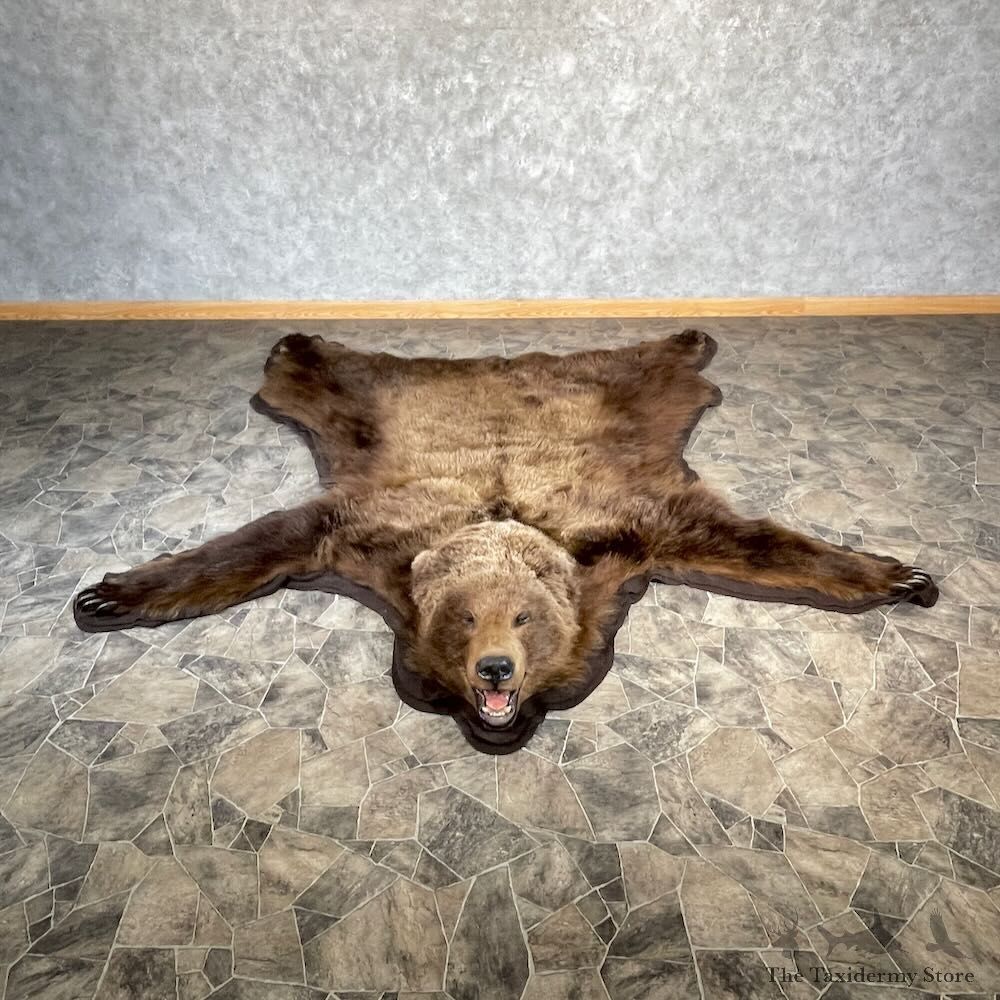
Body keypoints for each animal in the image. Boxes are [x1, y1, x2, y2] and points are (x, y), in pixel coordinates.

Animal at [74, 329, 938, 753]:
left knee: (657, 362)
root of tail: (495, 361)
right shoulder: (366, 533)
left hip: (631, 390)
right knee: (321, 374)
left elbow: (748, 540)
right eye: (464, 618)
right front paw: (109, 594)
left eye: (524, 618)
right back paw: (297, 342)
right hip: (360, 406)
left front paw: (897, 576)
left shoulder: (631, 527)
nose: (495, 669)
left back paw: (691, 338)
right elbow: (266, 539)